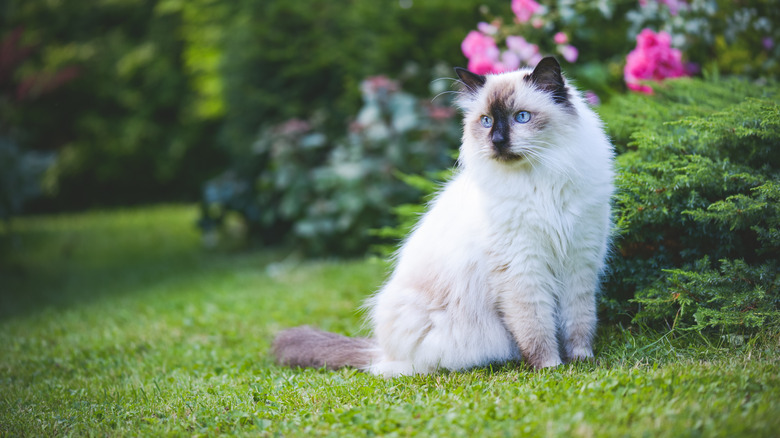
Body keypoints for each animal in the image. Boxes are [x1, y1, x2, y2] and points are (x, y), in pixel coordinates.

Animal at [274, 56, 616, 378]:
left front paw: (582, 361)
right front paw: (551, 367)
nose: (497, 141)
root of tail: (382, 351)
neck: (541, 180)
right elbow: (537, 329)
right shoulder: (522, 268)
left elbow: (578, 321)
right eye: (486, 121)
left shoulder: (579, 261)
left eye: (521, 117)